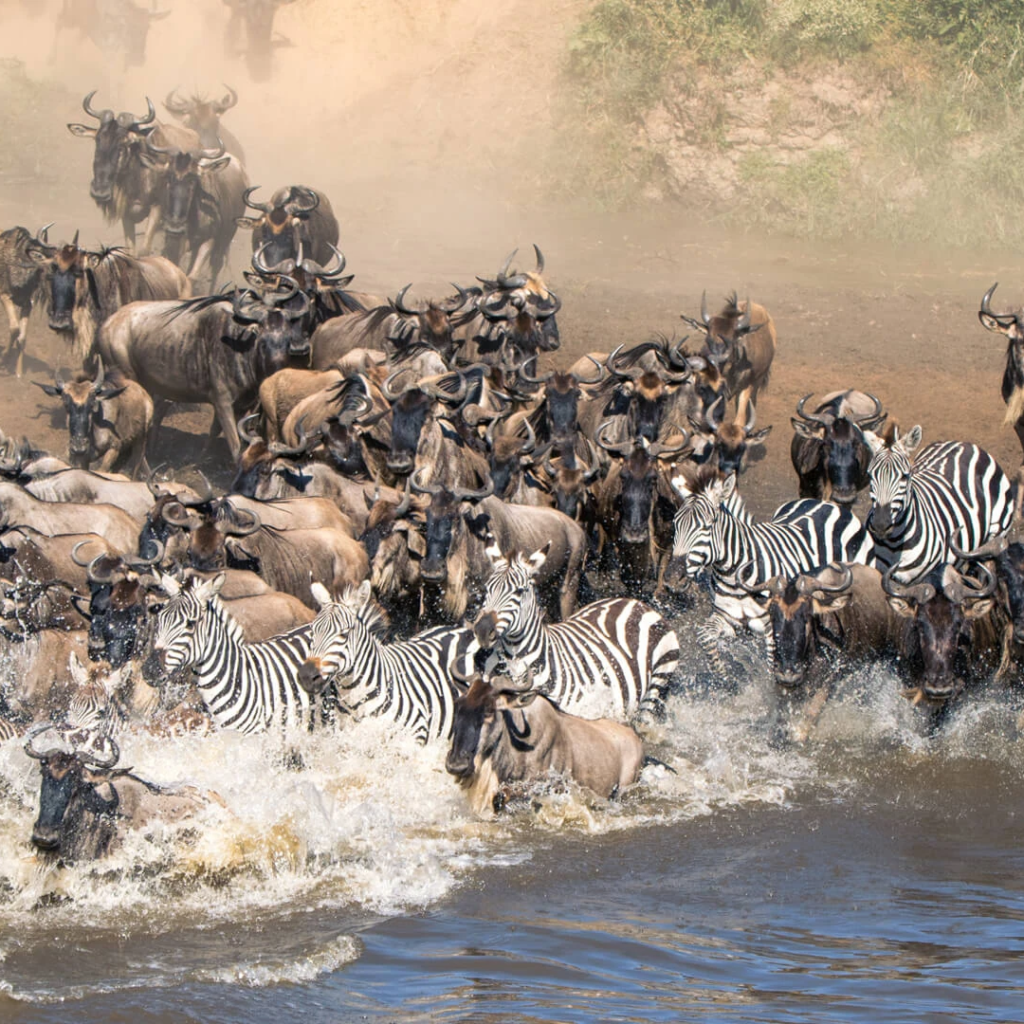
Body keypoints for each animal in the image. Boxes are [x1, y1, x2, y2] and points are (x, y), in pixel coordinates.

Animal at [298, 581, 478, 745]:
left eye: (344, 634)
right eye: (312, 631)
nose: (306, 676)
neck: (355, 697)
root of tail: (466, 631)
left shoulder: (414, 736)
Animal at [665, 466, 874, 666]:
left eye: (706, 527)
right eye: (675, 524)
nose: (673, 577)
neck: (734, 577)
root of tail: (824, 503)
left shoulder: (775, 626)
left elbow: (772, 662)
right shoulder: (726, 616)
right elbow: (705, 638)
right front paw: (723, 674)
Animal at [865, 424, 1015, 585]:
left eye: (904, 476)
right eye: (870, 475)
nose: (880, 524)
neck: (895, 544)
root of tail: (963, 443)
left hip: (995, 536)